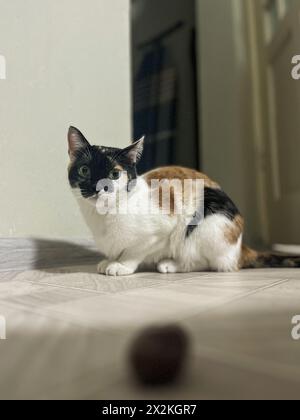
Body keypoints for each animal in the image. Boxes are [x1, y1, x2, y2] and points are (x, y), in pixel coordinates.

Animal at [68, 125, 300, 276]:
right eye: (84, 170)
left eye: (115, 174)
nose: (99, 187)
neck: (102, 216)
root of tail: (240, 248)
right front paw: (110, 260)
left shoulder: (159, 232)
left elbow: (134, 251)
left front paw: (121, 265)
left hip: (204, 227)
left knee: (207, 263)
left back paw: (170, 265)